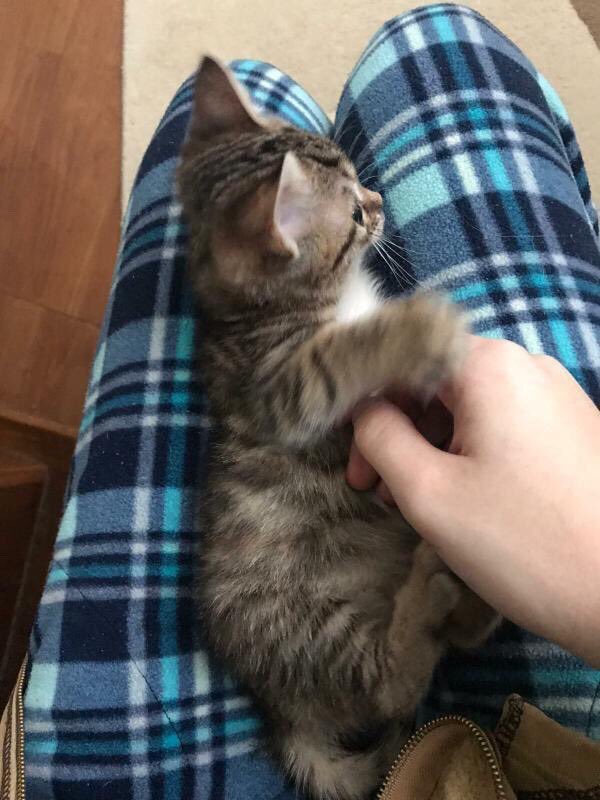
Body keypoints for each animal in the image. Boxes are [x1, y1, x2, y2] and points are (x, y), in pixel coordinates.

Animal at [179, 56, 499, 800]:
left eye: (362, 185)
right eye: (354, 213)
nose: (380, 202)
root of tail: (281, 710)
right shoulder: (275, 388)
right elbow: (343, 354)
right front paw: (417, 326)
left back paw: (469, 601)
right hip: (308, 631)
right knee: (389, 688)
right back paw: (430, 596)